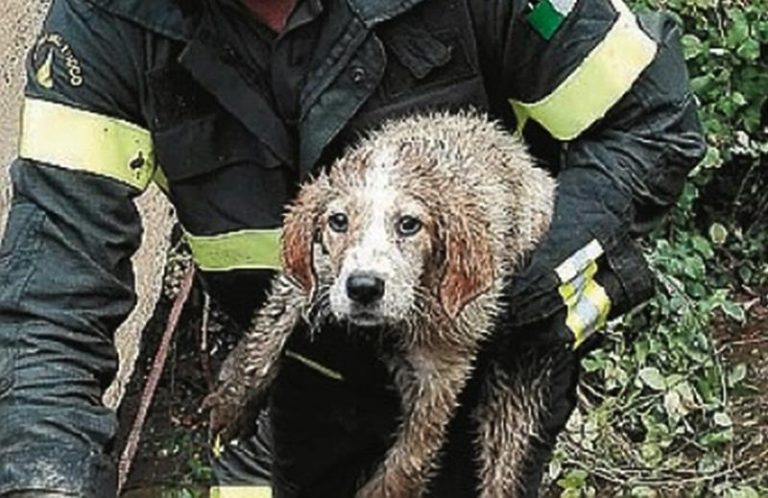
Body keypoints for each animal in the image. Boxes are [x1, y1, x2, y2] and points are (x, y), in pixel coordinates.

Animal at [204, 113, 560, 498]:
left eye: (409, 224)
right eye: (338, 221)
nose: (363, 288)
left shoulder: (443, 368)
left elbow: (409, 460)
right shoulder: (318, 273)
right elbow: (269, 329)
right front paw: (234, 400)